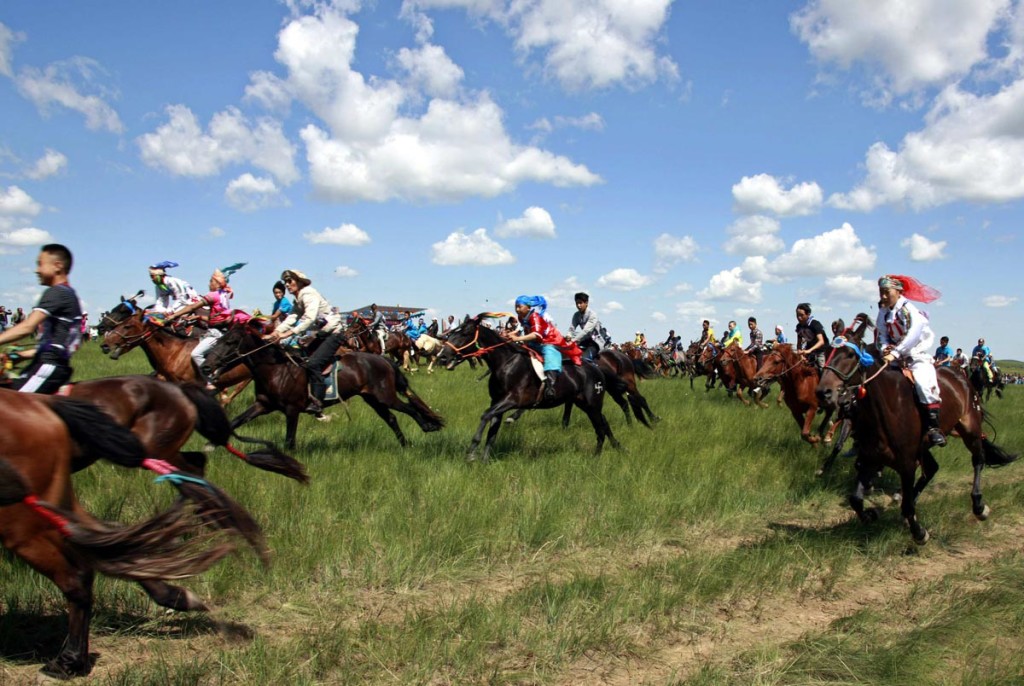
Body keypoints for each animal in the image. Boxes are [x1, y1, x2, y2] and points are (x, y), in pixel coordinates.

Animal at [0, 393, 256, 683]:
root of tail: (43, 404)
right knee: (110, 545)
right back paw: (174, 595)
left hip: (22, 521)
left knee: (81, 570)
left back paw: (68, 662)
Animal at [201, 321, 442, 450]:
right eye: (218, 340)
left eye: (230, 342)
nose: (205, 365)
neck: (276, 370)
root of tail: (384, 360)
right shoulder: (263, 405)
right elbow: (236, 420)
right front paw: (211, 444)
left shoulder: (292, 409)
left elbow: (289, 441)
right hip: (372, 398)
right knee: (391, 418)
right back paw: (405, 444)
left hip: (385, 395)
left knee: (409, 408)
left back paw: (427, 427)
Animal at [438, 315, 614, 464]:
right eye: (451, 333)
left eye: (465, 333)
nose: (442, 356)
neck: (505, 363)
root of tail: (596, 368)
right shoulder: (497, 402)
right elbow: (492, 433)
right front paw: (484, 460)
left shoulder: (512, 400)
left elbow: (485, 415)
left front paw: (471, 452)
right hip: (584, 404)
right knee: (603, 423)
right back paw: (615, 447)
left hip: (592, 405)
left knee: (600, 429)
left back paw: (596, 457)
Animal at [815, 317, 1015, 548]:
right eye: (827, 350)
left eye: (850, 354)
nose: (823, 392)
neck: (886, 409)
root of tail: (961, 377)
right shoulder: (871, 456)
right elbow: (855, 499)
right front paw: (871, 514)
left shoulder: (907, 462)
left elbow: (907, 504)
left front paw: (919, 531)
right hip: (924, 446)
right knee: (932, 468)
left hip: (970, 429)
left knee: (978, 459)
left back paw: (979, 505)